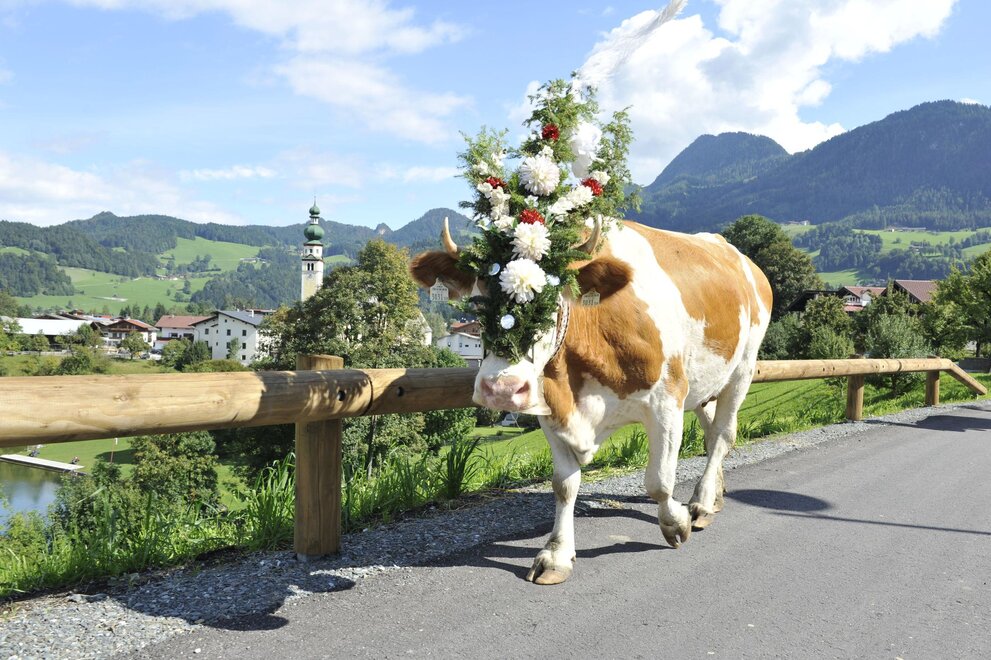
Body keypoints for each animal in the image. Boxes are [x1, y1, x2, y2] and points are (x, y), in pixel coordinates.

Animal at [410, 218, 772, 585]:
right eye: (478, 306)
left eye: (551, 304)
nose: (501, 388)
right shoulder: (552, 410)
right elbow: (564, 485)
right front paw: (556, 555)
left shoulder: (668, 398)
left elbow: (658, 480)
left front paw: (676, 523)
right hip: (708, 383)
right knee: (712, 431)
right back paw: (714, 495)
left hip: (742, 368)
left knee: (722, 436)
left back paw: (700, 504)